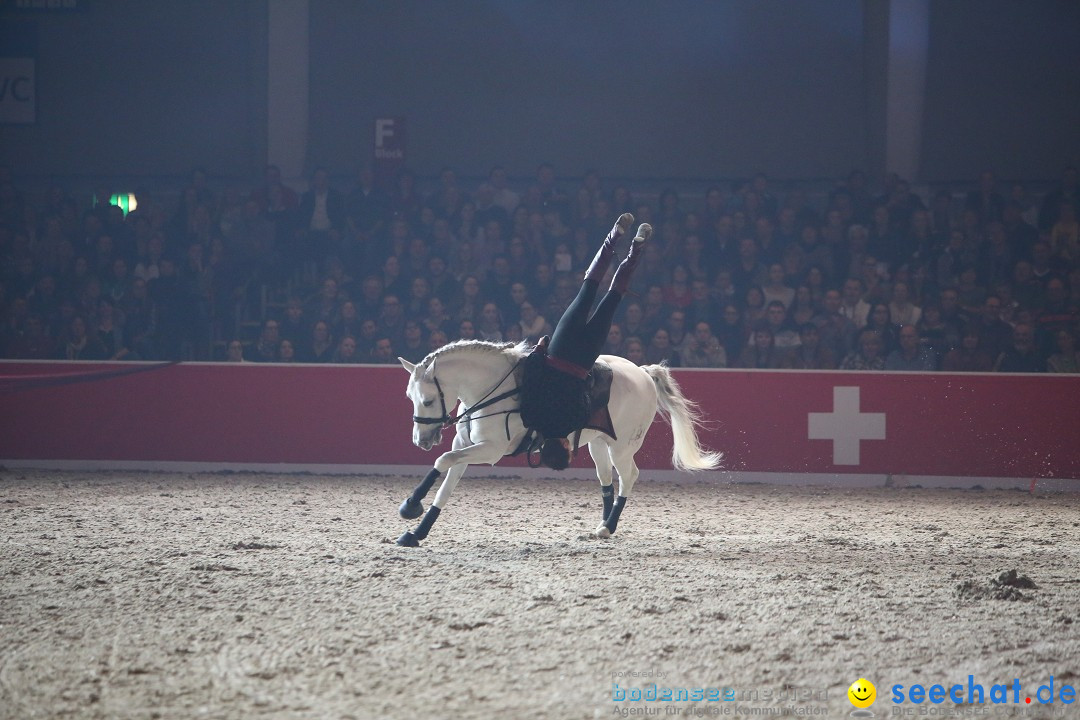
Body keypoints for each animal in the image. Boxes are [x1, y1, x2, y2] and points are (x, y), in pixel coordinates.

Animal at [395, 341, 717, 544]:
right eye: (409, 398)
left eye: (428, 400)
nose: (421, 440)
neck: (495, 390)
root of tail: (643, 372)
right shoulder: (465, 446)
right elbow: (447, 483)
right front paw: (417, 533)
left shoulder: (490, 450)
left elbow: (442, 460)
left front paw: (411, 505)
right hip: (598, 443)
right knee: (606, 479)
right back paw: (603, 525)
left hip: (623, 447)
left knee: (629, 476)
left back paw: (609, 526)